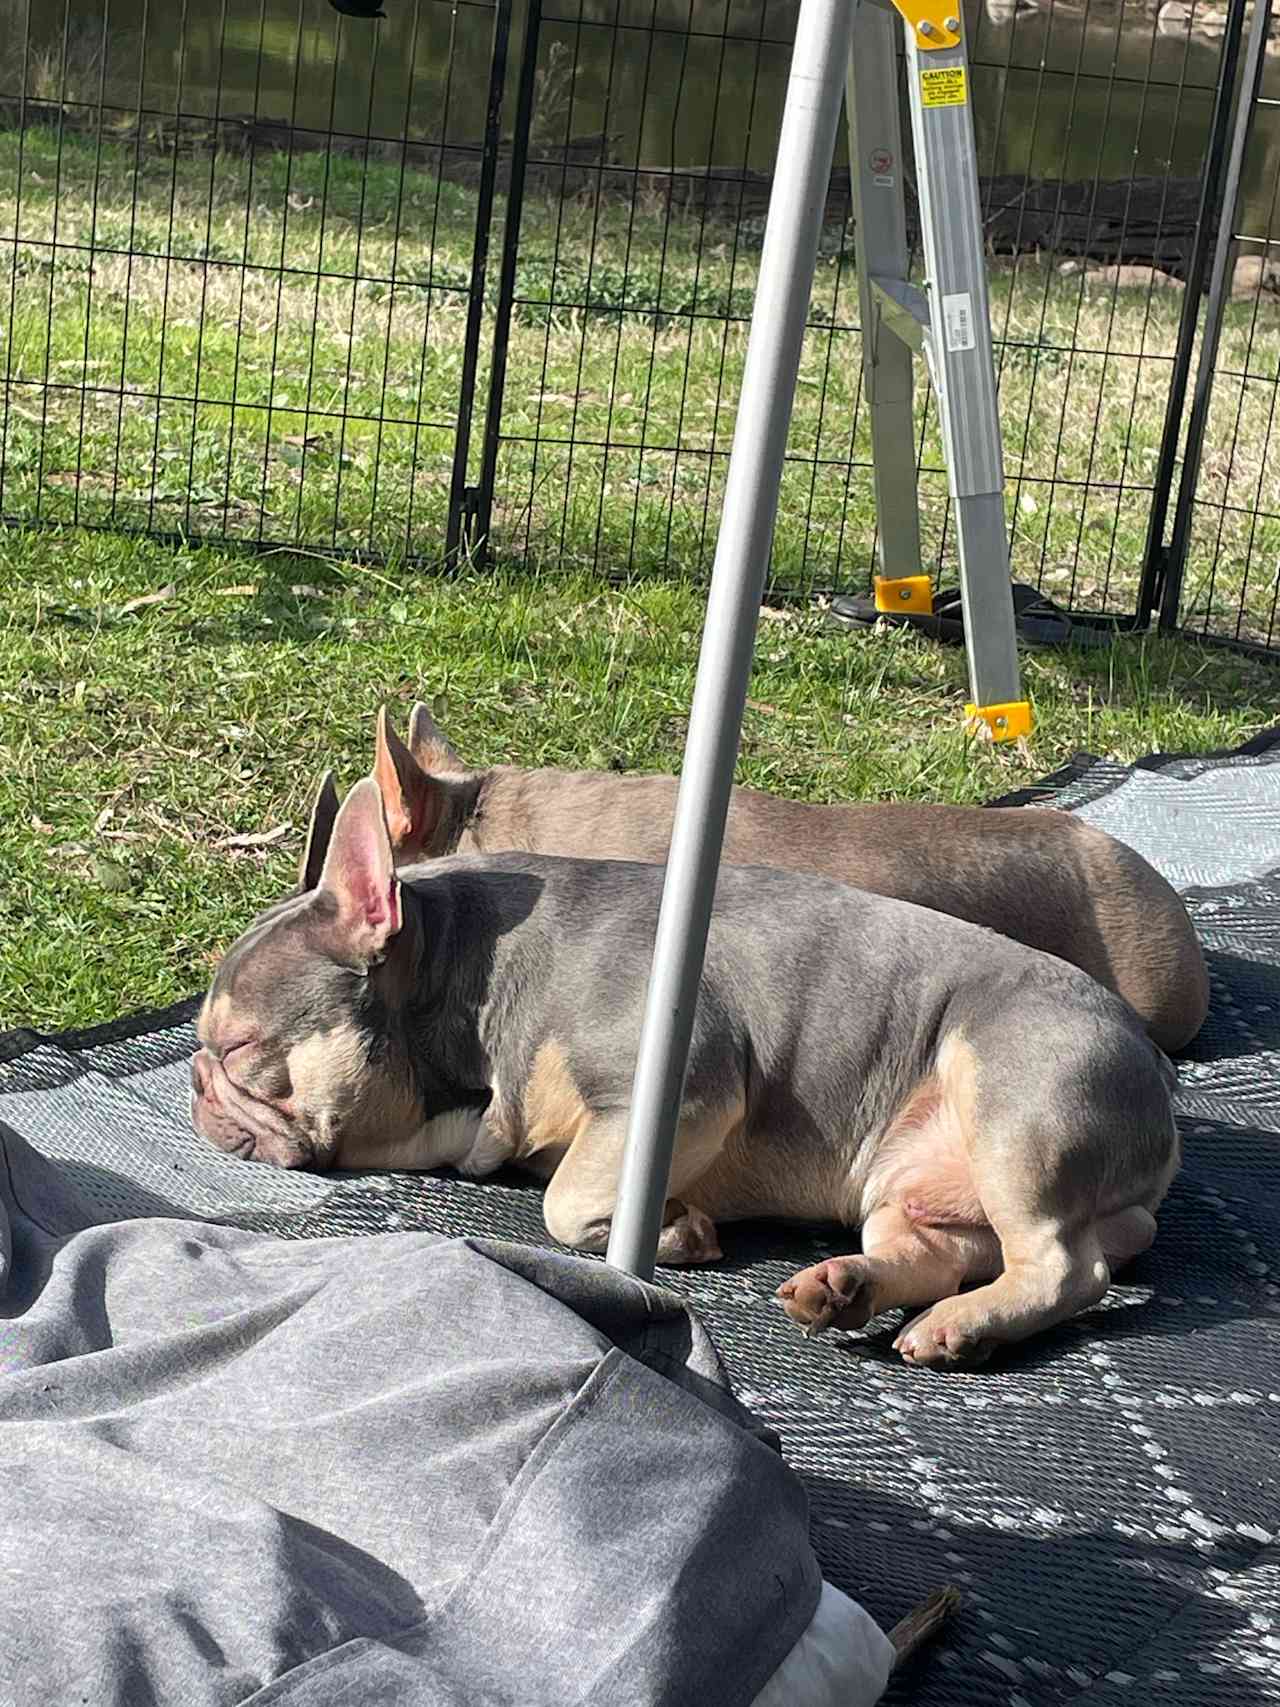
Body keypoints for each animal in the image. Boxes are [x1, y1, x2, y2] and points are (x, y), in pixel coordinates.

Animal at [192, 781, 1181, 1365]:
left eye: (238, 1046)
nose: (196, 1082)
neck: (470, 983)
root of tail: (1159, 1097)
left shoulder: (682, 1086)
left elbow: (565, 1204)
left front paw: (671, 1229)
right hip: (905, 1186)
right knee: (936, 1251)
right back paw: (848, 1288)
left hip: (1011, 1099)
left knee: (1065, 1267)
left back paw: (957, 1328)